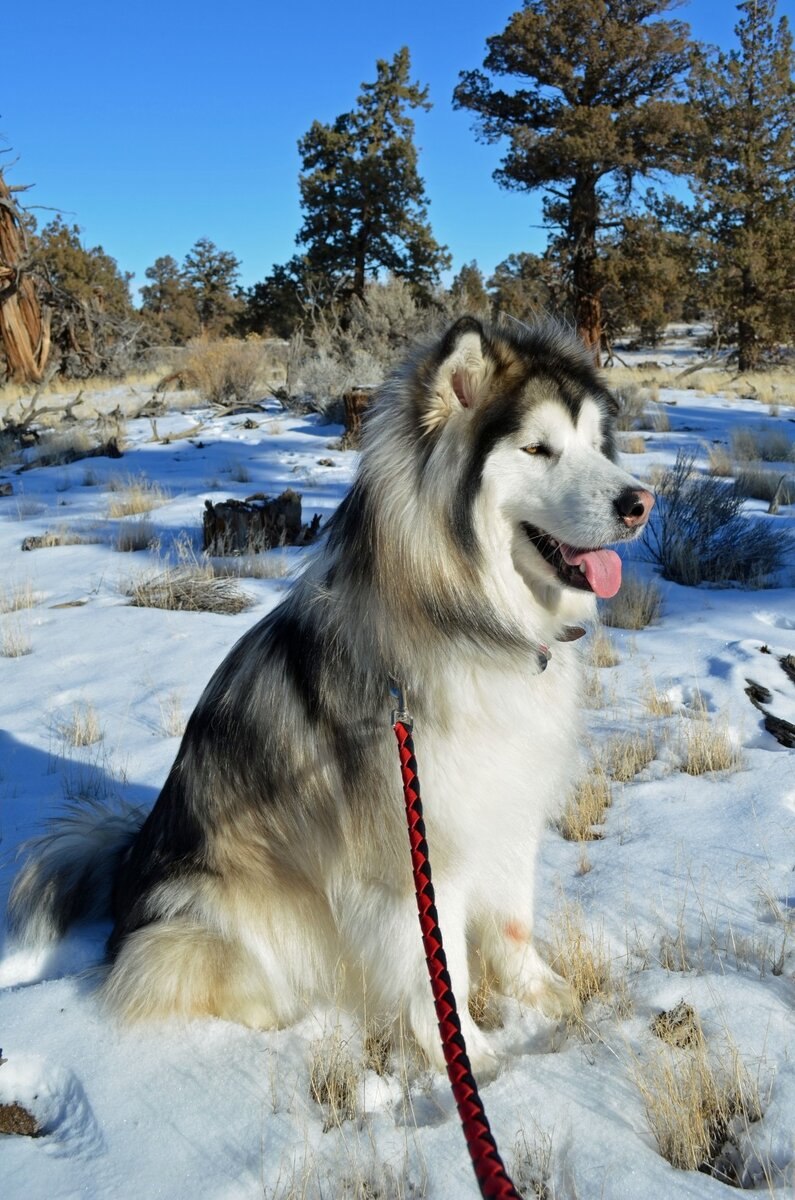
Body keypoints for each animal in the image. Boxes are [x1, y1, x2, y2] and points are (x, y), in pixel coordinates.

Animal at [6, 316, 653, 1070]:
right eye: (537, 448)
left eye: (595, 445)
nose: (640, 503)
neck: (472, 621)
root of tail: (127, 869)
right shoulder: (411, 851)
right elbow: (442, 971)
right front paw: (468, 1056)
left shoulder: (503, 810)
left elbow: (515, 922)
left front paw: (542, 995)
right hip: (215, 910)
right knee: (177, 971)